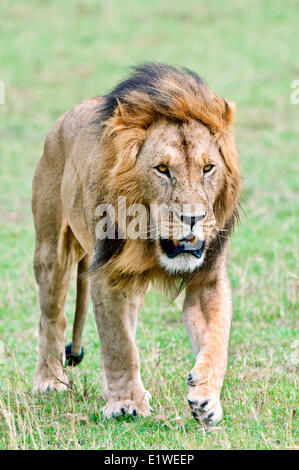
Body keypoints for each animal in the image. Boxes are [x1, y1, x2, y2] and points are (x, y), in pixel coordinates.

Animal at [31, 63, 241, 426]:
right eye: (162, 169)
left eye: (208, 168)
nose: (192, 218)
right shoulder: (106, 276)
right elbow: (119, 344)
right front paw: (126, 404)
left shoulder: (208, 278)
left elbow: (217, 338)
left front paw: (206, 398)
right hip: (50, 251)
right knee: (52, 317)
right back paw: (50, 380)